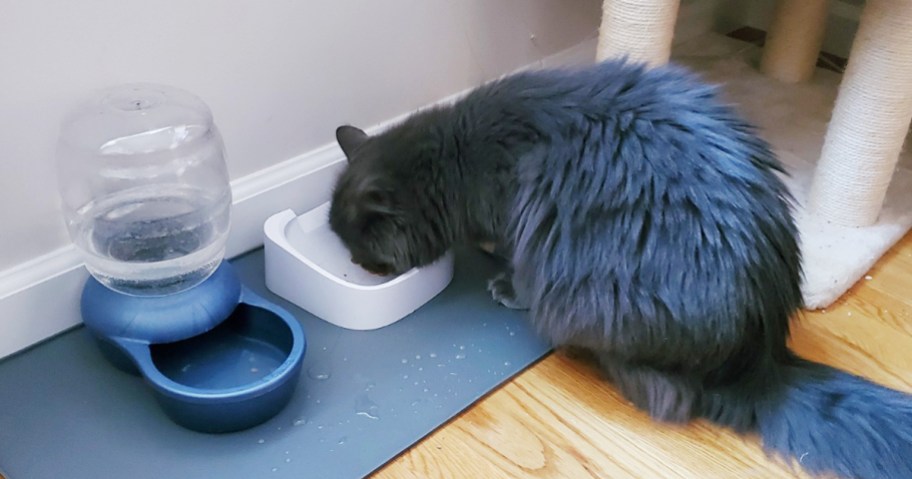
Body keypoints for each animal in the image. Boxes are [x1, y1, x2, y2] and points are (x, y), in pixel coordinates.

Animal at [328, 60, 912, 479]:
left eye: (359, 247)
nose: (357, 264)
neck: (455, 159)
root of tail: (761, 358)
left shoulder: (519, 218)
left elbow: (514, 259)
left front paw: (502, 280)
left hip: (588, 300)